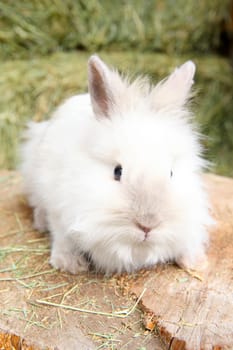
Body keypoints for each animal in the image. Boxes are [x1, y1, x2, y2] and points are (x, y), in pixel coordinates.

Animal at [20, 55, 212, 274]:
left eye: (171, 173)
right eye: (117, 171)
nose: (147, 224)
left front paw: (197, 263)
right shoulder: (58, 206)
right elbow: (62, 236)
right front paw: (70, 264)